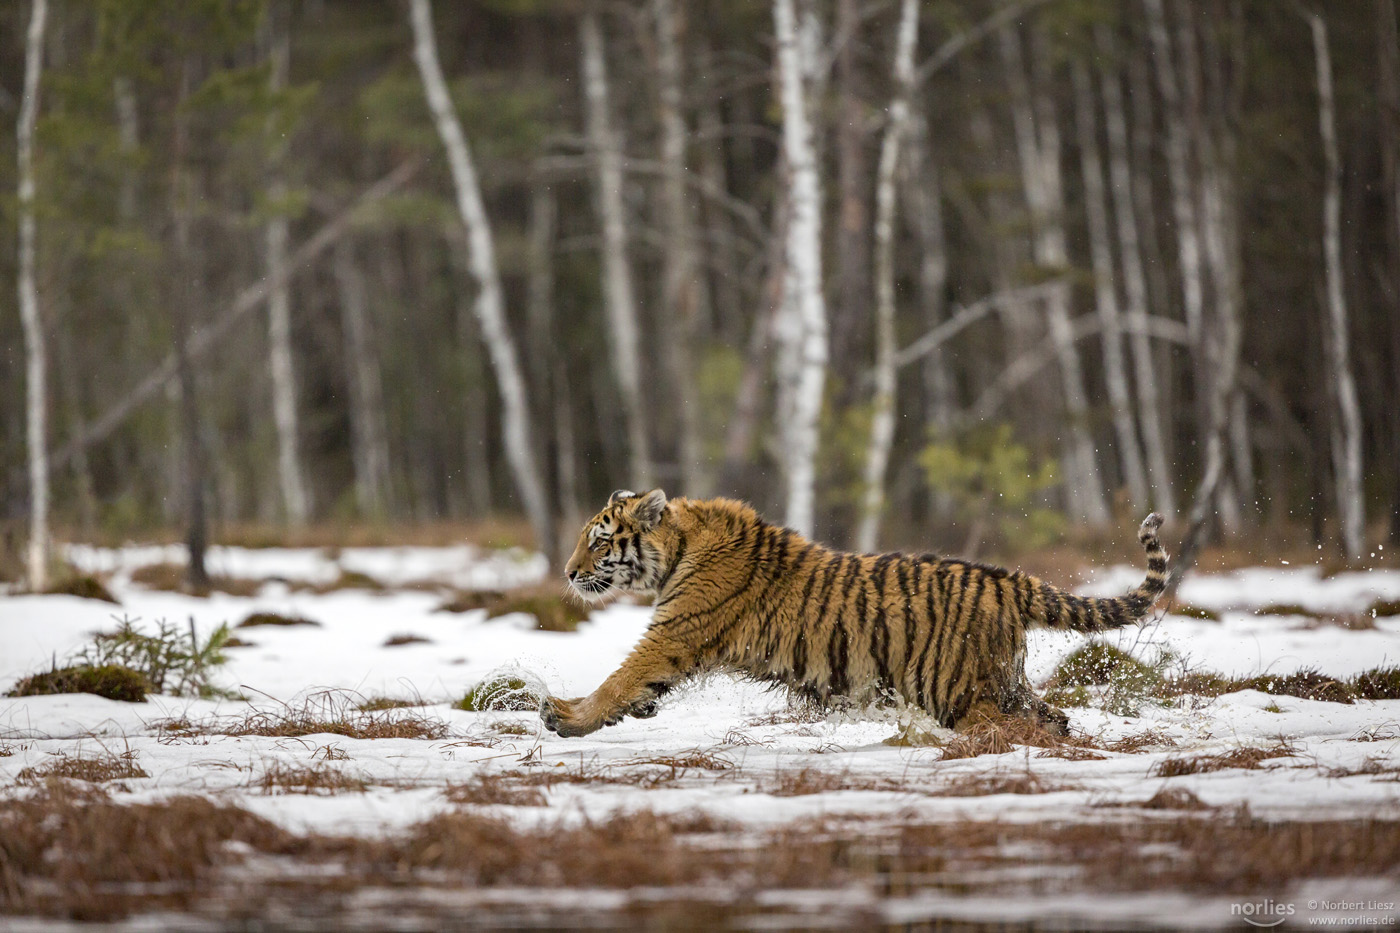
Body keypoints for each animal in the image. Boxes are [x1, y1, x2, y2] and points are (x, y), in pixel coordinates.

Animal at [540, 490, 1164, 739]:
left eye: (599, 541)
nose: (567, 573)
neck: (679, 547)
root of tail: (1006, 578)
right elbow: (633, 688)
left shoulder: (672, 635)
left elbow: (618, 679)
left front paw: (564, 717)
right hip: (1002, 681)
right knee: (1053, 717)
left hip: (957, 689)